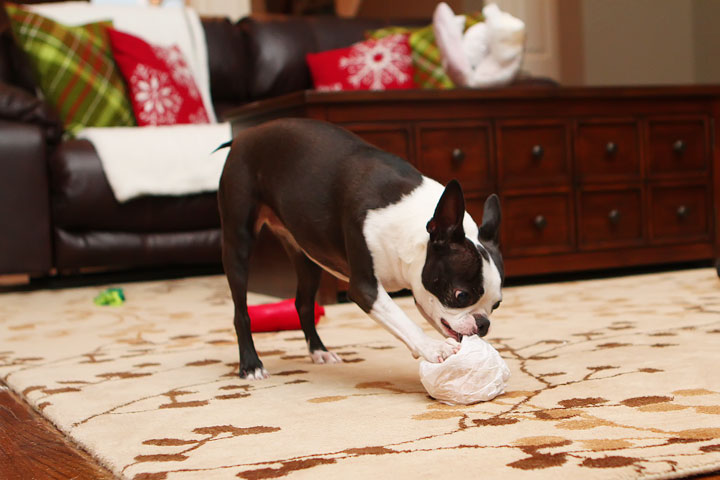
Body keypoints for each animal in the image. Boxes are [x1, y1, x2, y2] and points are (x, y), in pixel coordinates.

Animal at [217, 117, 504, 378]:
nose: (483, 324)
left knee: (303, 303)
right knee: (240, 311)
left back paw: (319, 351)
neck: (408, 224)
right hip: (238, 240)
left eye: (497, 304)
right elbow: (402, 319)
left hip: (306, 255)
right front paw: (433, 348)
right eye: (461, 295)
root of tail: (245, 135)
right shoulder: (364, 288)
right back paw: (251, 365)